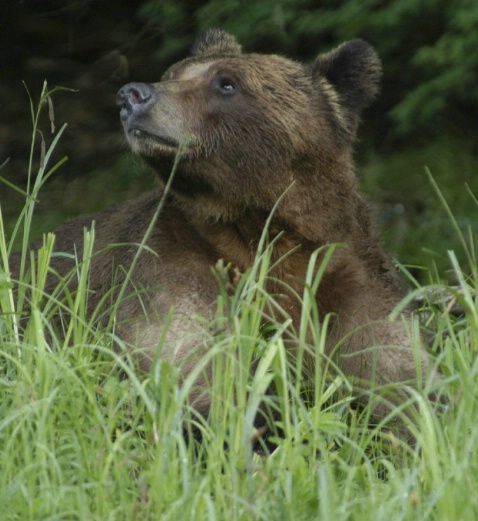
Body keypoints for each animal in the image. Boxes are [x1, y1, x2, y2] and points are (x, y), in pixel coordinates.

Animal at [12, 28, 440, 418]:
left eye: (226, 82)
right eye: (175, 72)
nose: (131, 95)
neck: (260, 227)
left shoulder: (345, 276)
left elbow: (400, 378)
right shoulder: (169, 264)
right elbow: (192, 369)